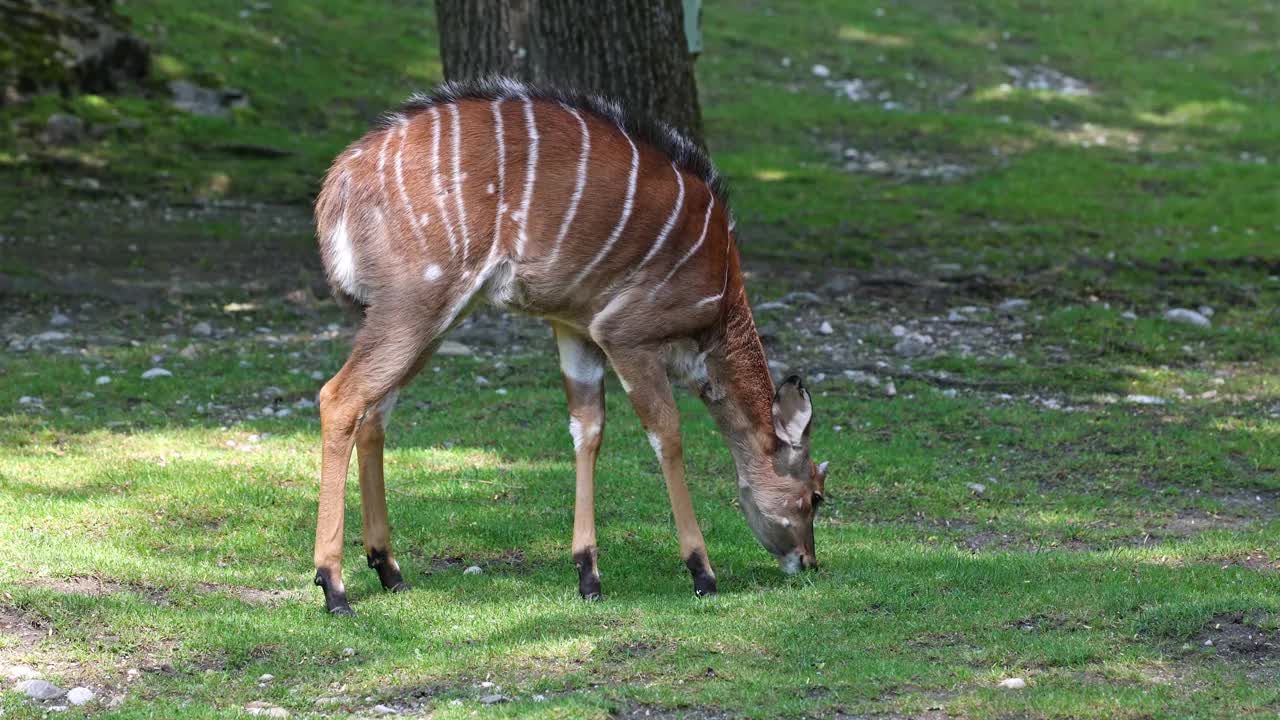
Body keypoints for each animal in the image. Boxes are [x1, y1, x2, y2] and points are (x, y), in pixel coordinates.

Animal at [311, 79, 829, 617]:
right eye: (815, 496)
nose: (808, 562)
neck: (719, 301)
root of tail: (338, 186)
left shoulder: (575, 327)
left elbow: (588, 429)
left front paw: (588, 576)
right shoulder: (626, 334)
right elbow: (666, 434)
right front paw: (702, 572)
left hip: (426, 317)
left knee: (376, 412)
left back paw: (389, 569)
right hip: (415, 302)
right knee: (340, 397)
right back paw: (334, 587)